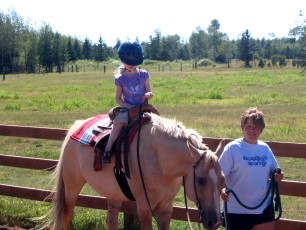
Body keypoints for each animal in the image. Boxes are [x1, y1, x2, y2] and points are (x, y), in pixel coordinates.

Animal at [44, 113, 225, 230]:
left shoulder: (166, 207)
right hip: (71, 187)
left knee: (111, 221)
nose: (215, 222)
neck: (160, 160)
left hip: (114, 193)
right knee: (66, 216)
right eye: (200, 180)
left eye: (223, 180)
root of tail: (77, 126)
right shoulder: (144, 207)